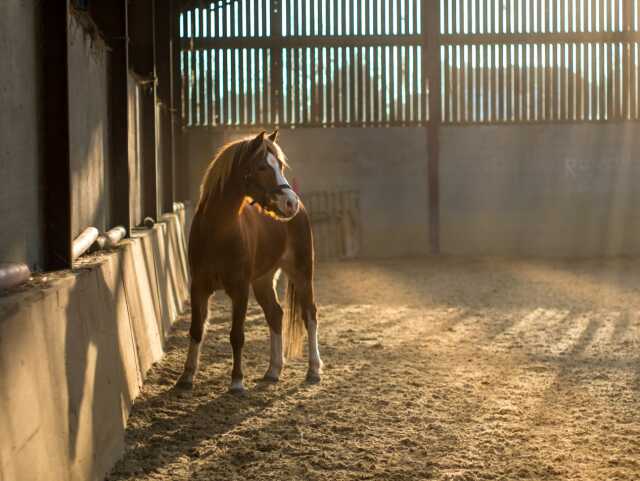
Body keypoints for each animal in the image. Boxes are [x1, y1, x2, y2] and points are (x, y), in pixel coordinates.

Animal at [176, 129, 322, 392]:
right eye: (262, 166)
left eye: (280, 165)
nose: (290, 202)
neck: (218, 231)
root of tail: (302, 210)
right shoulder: (199, 287)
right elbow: (196, 329)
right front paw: (187, 376)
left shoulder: (240, 288)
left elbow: (237, 335)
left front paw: (236, 381)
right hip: (263, 280)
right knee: (275, 314)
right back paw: (273, 371)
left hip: (302, 273)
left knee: (310, 314)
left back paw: (314, 370)